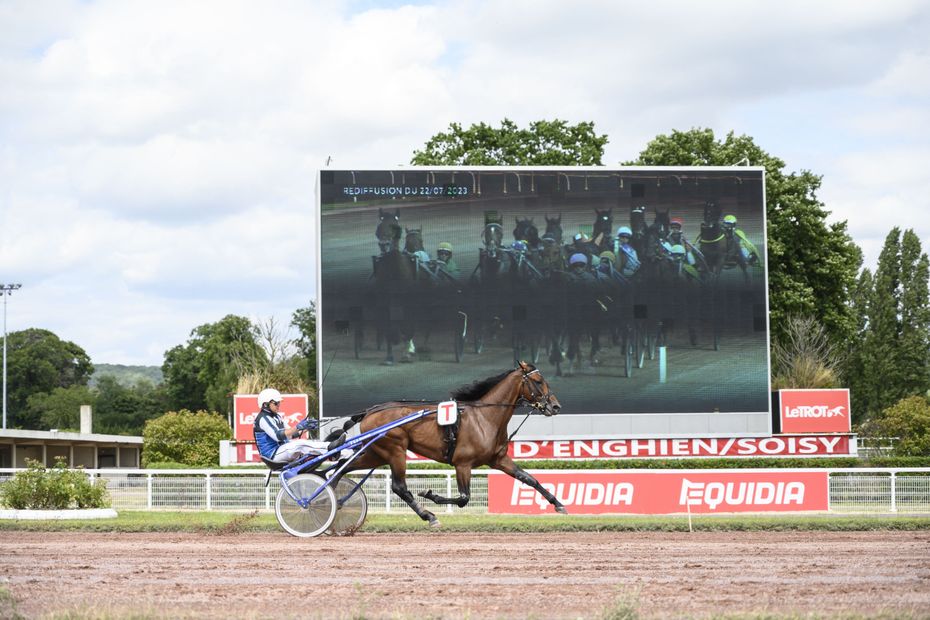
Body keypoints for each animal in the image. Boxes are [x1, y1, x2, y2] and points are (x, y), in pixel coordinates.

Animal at [340, 360, 560, 524]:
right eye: (539, 381)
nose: (556, 406)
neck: (485, 417)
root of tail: (369, 411)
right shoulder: (463, 464)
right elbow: (464, 498)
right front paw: (430, 494)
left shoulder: (498, 459)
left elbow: (529, 479)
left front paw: (557, 503)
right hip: (395, 450)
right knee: (399, 487)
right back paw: (428, 515)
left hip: (376, 453)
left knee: (344, 467)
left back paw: (338, 500)